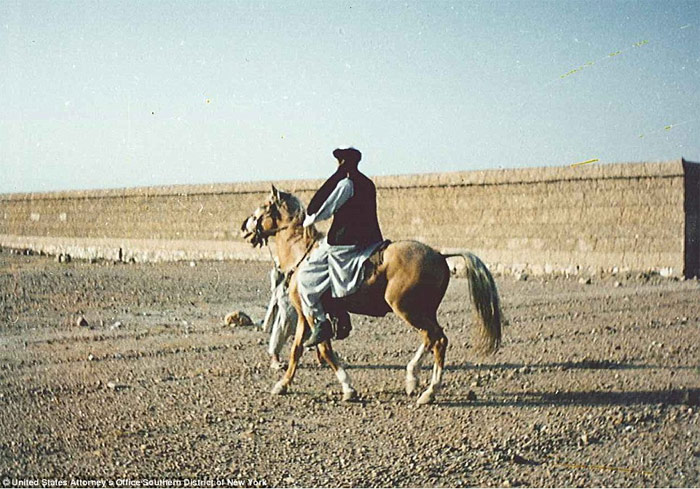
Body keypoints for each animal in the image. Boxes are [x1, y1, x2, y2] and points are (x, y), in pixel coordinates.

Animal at [242, 184, 504, 404]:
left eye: (264, 206)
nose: (245, 227)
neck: (303, 253)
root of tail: (439, 254)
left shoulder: (312, 314)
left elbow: (324, 350)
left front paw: (348, 388)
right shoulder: (306, 316)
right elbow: (296, 350)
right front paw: (282, 385)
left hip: (407, 309)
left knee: (437, 340)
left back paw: (429, 392)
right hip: (424, 311)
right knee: (431, 338)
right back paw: (412, 379)